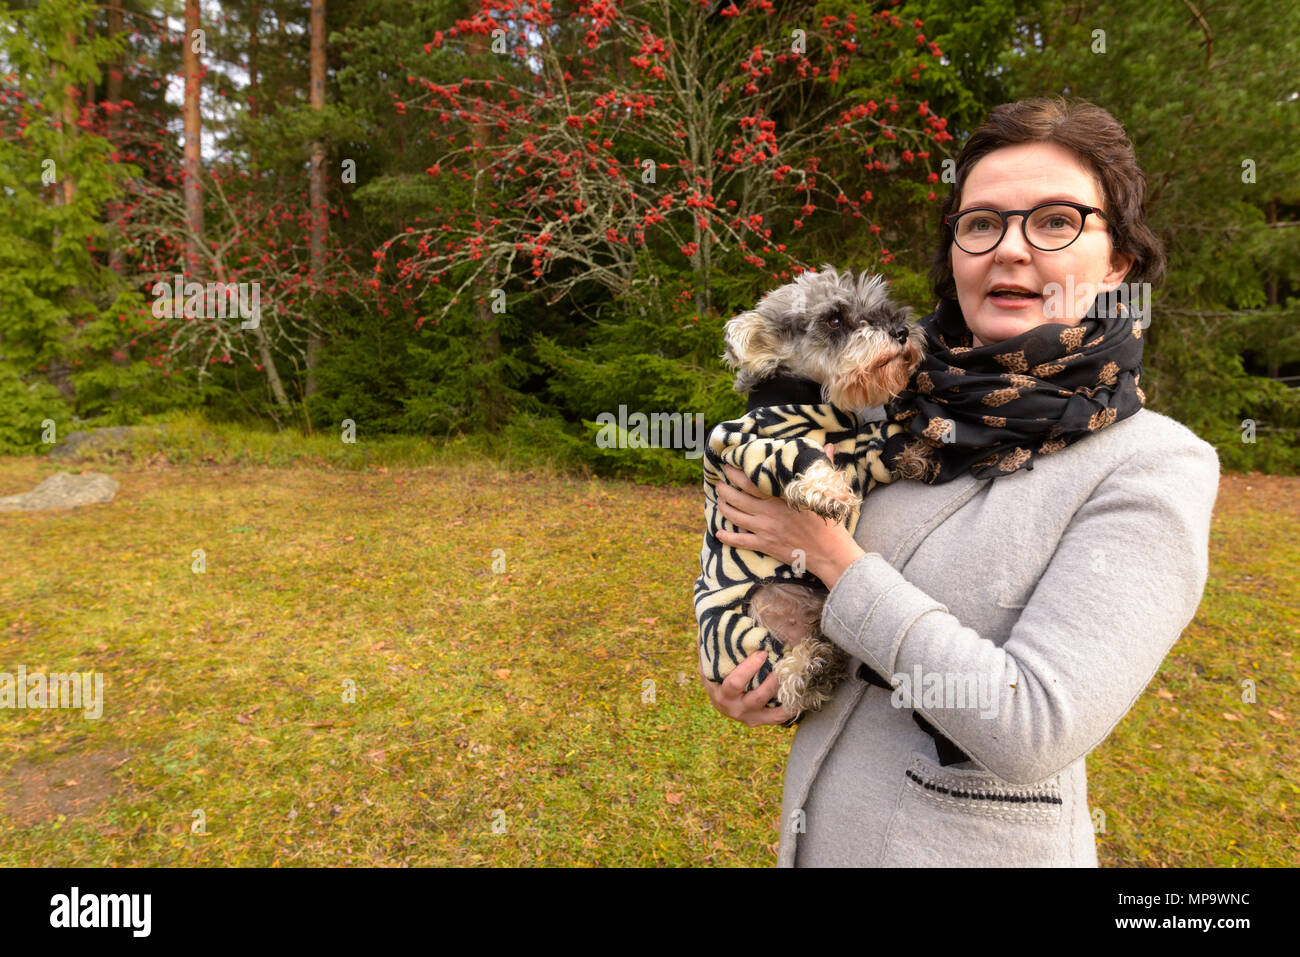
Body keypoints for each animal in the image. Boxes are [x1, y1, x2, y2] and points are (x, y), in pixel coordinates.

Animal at [702, 265, 925, 712]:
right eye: (834, 319)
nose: (901, 330)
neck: (818, 404)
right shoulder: (742, 445)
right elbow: (800, 454)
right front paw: (829, 493)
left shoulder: (859, 450)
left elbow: (879, 442)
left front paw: (915, 450)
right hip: (739, 626)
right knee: (779, 677)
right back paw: (809, 668)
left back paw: (824, 660)